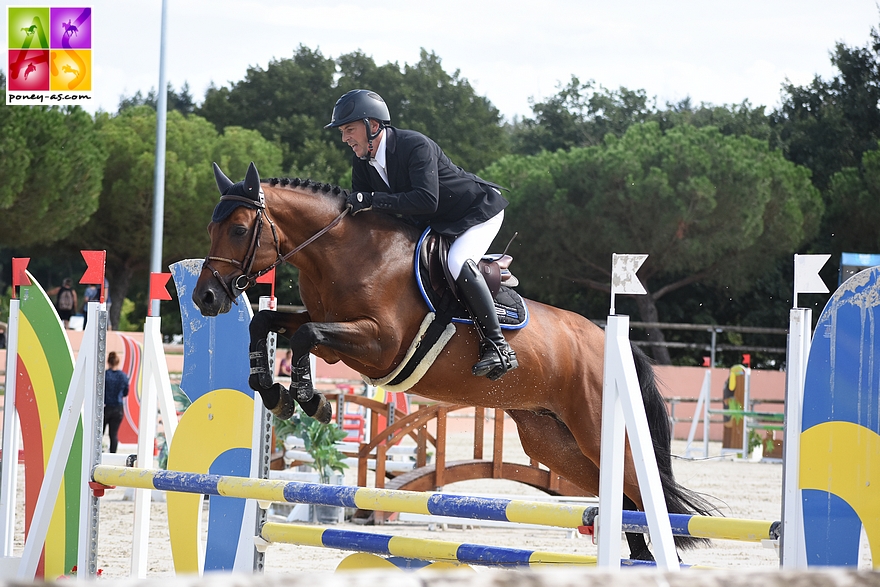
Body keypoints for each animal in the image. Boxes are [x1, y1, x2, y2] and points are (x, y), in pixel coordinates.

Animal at [192, 161, 716, 560]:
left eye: (239, 229)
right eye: (211, 228)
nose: (205, 298)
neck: (341, 252)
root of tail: (607, 341)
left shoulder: (379, 345)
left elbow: (304, 334)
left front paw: (307, 398)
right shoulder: (334, 332)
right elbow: (271, 323)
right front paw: (272, 391)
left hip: (597, 430)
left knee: (640, 491)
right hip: (554, 441)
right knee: (620, 496)